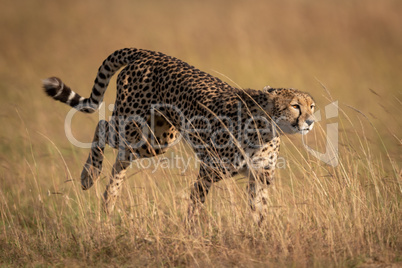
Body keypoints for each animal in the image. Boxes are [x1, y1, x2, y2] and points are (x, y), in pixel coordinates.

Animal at [42, 47, 316, 220]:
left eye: (312, 106)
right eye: (295, 106)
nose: (311, 121)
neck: (265, 130)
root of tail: (148, 53)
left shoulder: (259, 177)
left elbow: (260, 211)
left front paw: (260, 237)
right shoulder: (209, 170)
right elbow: (195, 205)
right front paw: (192, 233)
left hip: (157, 140)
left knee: (121, 159)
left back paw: (109, 200)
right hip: (131, 125)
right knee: (102, 127)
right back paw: (88, 176)